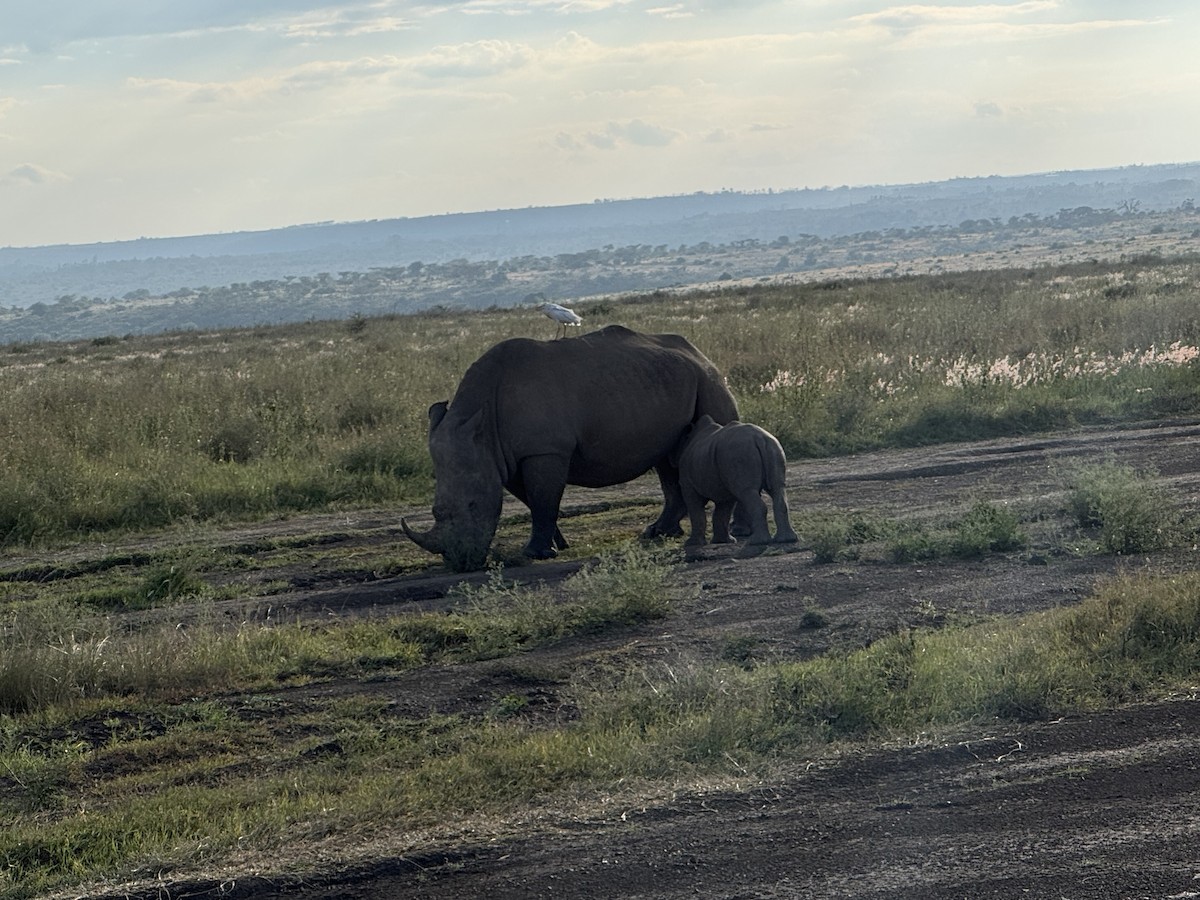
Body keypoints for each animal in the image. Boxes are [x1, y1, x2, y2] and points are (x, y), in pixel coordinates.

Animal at [401, 325, 739, 570]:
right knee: (667, 458)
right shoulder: (505, 458)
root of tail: (699, 351)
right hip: (668, 381)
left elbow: (543, 498)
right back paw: (659, 533)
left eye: (473, 505)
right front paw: (558, 544)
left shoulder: (545, 450)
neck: (482, 421)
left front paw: (538, 554)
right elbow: (533, 500)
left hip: (708, 379)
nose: (461, 561)